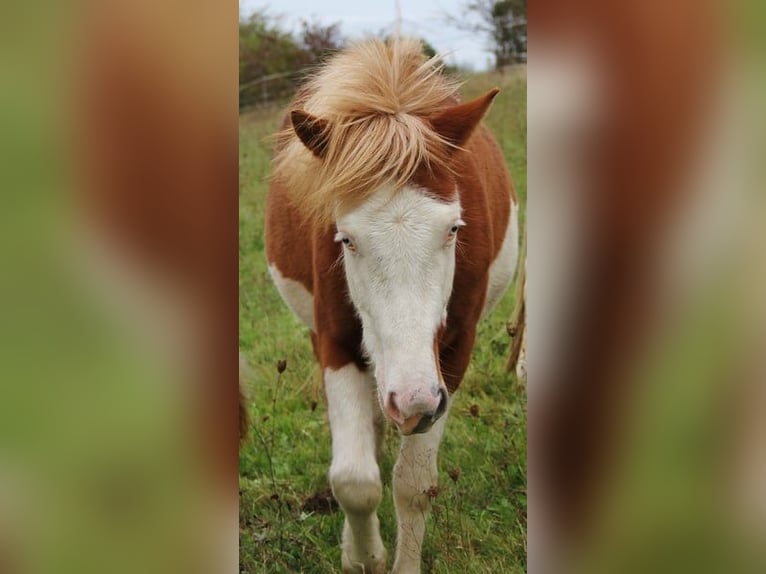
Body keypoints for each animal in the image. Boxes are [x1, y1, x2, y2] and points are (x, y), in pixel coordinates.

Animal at [265, 37, 519, 573]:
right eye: (346, 239)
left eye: (454, 229)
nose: (414, 401)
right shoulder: (336, 342)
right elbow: (355, 480)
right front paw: (362, 555)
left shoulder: (452, 355)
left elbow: (414, 485)